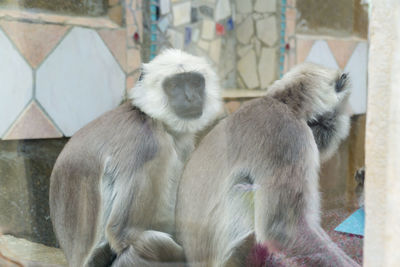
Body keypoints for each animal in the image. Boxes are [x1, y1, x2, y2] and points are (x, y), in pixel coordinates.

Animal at [49, 49, 222, 266]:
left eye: (195, 82)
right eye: (174, 85)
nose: (191, 97)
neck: (150, 117)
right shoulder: (148, 144)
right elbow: (124, 231)